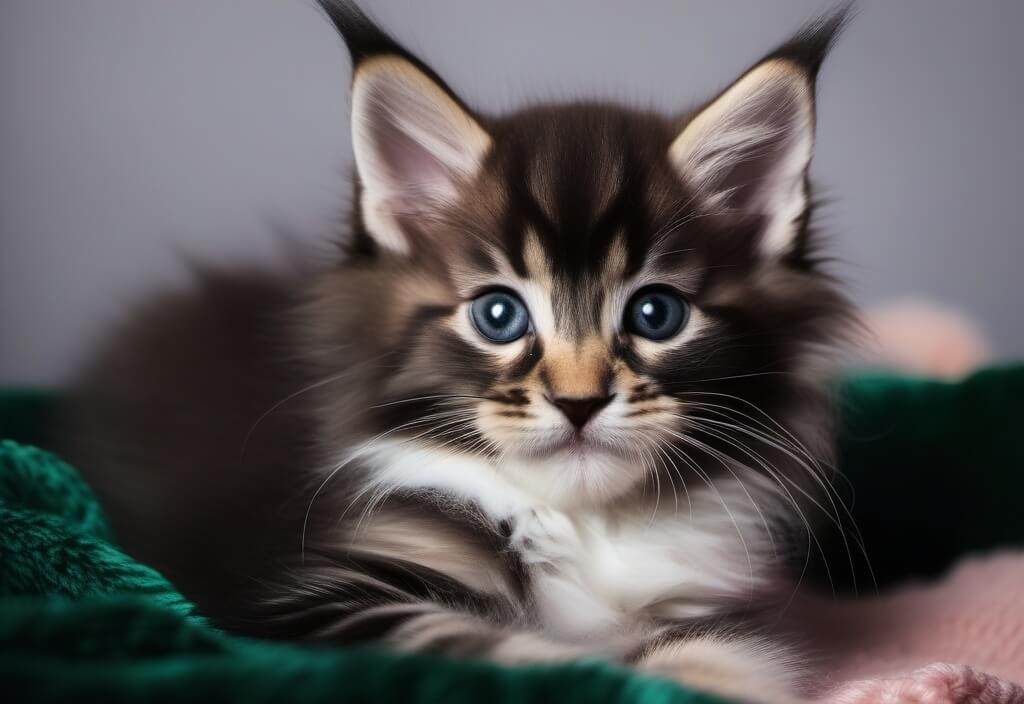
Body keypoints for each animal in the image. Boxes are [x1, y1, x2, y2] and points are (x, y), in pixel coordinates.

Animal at [59, 2, 856, 699]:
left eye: (655, 314)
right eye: (499, 315)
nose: (579, 402)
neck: (584, 523)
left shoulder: (715, 598)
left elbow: (742, 648)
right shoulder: (303, 602)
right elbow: (493, 648)